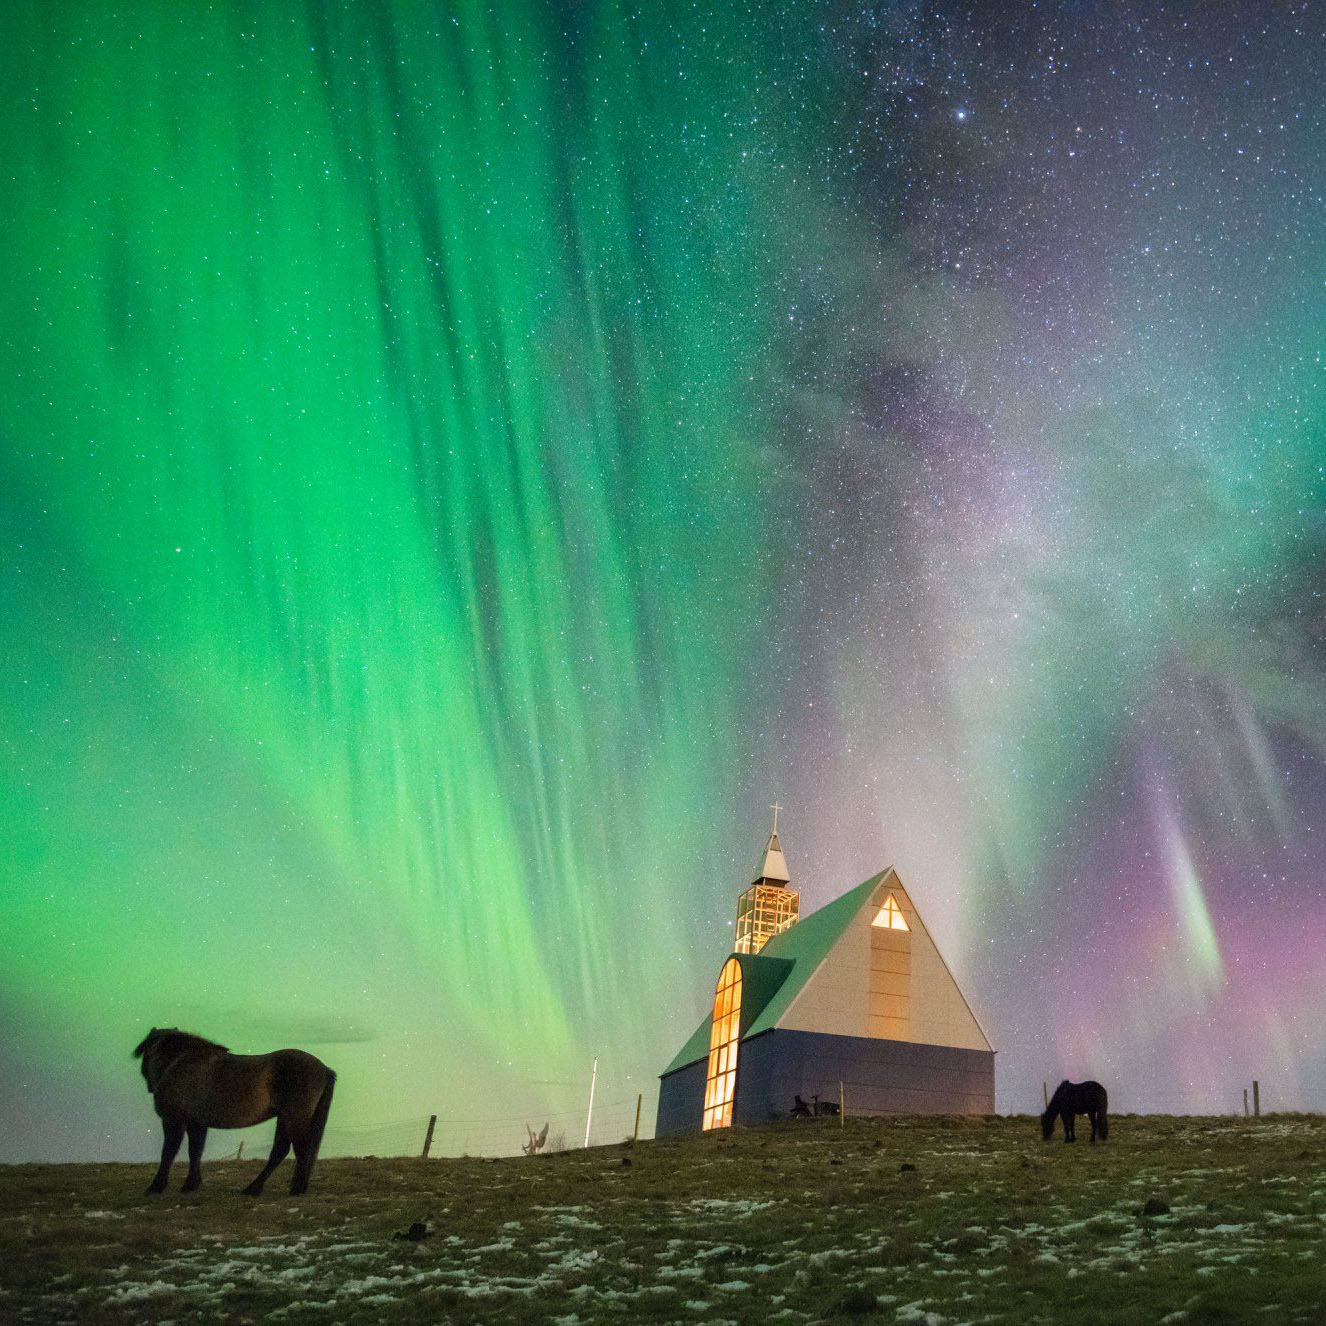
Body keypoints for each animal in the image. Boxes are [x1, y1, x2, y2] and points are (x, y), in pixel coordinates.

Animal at [133, 1028, 336, 1198]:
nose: (150, 1086)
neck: (181, 1063)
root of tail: (324, 1069)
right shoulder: (196, 1123)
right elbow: (195, 1151)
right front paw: (191, 1184)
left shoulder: (173, 1120)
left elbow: (168, 1152)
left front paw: (156, 1186)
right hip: (285, 1118)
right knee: (281, 1151)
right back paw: (255, 1188)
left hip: (294, 1118)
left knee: (300, 1150)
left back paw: (296, 1189)